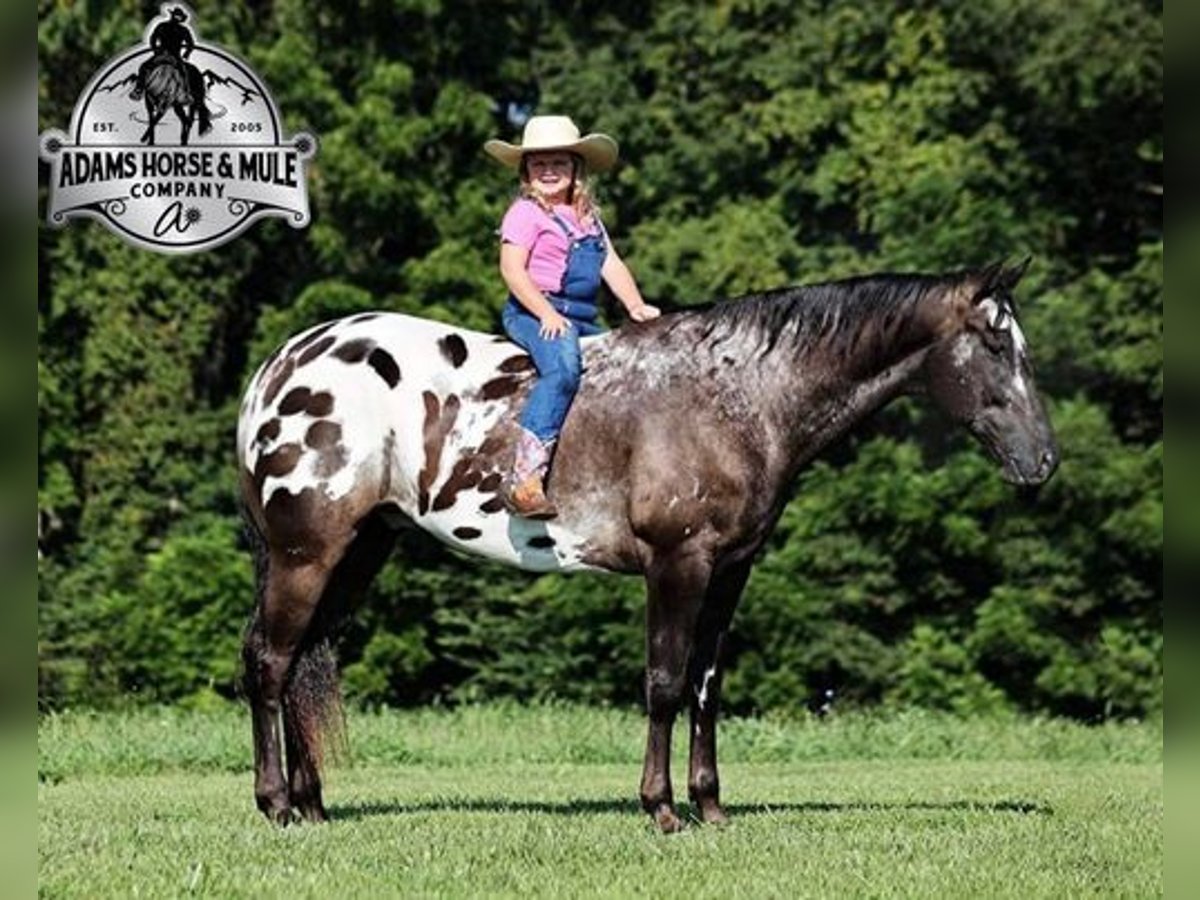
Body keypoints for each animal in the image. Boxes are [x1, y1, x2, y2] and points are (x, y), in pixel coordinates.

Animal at [236, 259, 1060, 830]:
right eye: (995, 342)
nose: (1044, 461)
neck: (740, 396)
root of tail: (280, 369)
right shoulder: (677, 563)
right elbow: (663, 683)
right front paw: (661, 808)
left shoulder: (730, 570)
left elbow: (704, 686)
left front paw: (711, 807)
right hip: (306, 555)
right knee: (271, 663)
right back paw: (275, 803)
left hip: (359, 552)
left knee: (303, 659)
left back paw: (313, 804)